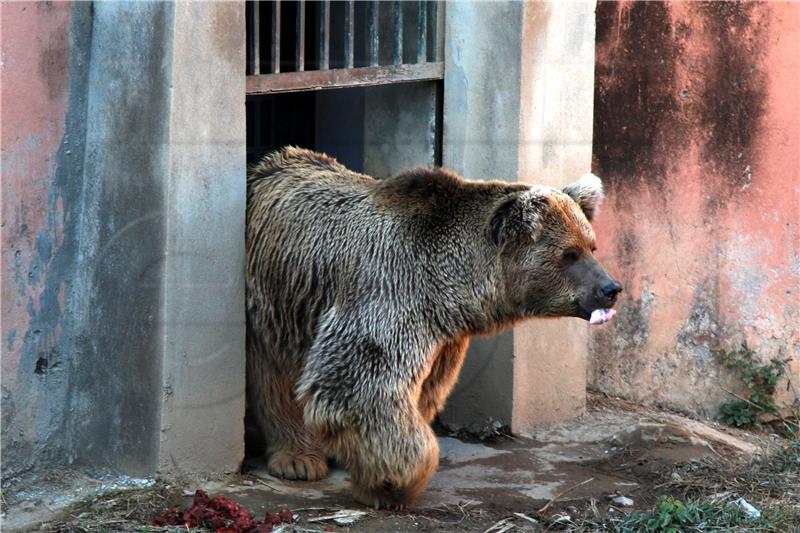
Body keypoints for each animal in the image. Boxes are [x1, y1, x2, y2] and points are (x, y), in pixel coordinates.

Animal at [247, 144, 620, 508]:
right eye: (568, 254)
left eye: (591, 245)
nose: (610, 288)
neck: (448, 285)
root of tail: (262, 167)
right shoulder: (389, 293)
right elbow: (361, 385)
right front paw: (391, 484)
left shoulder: (444, 337)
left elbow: (423, 391)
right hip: (273, 297)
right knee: (275, 374)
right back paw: (298, 458)